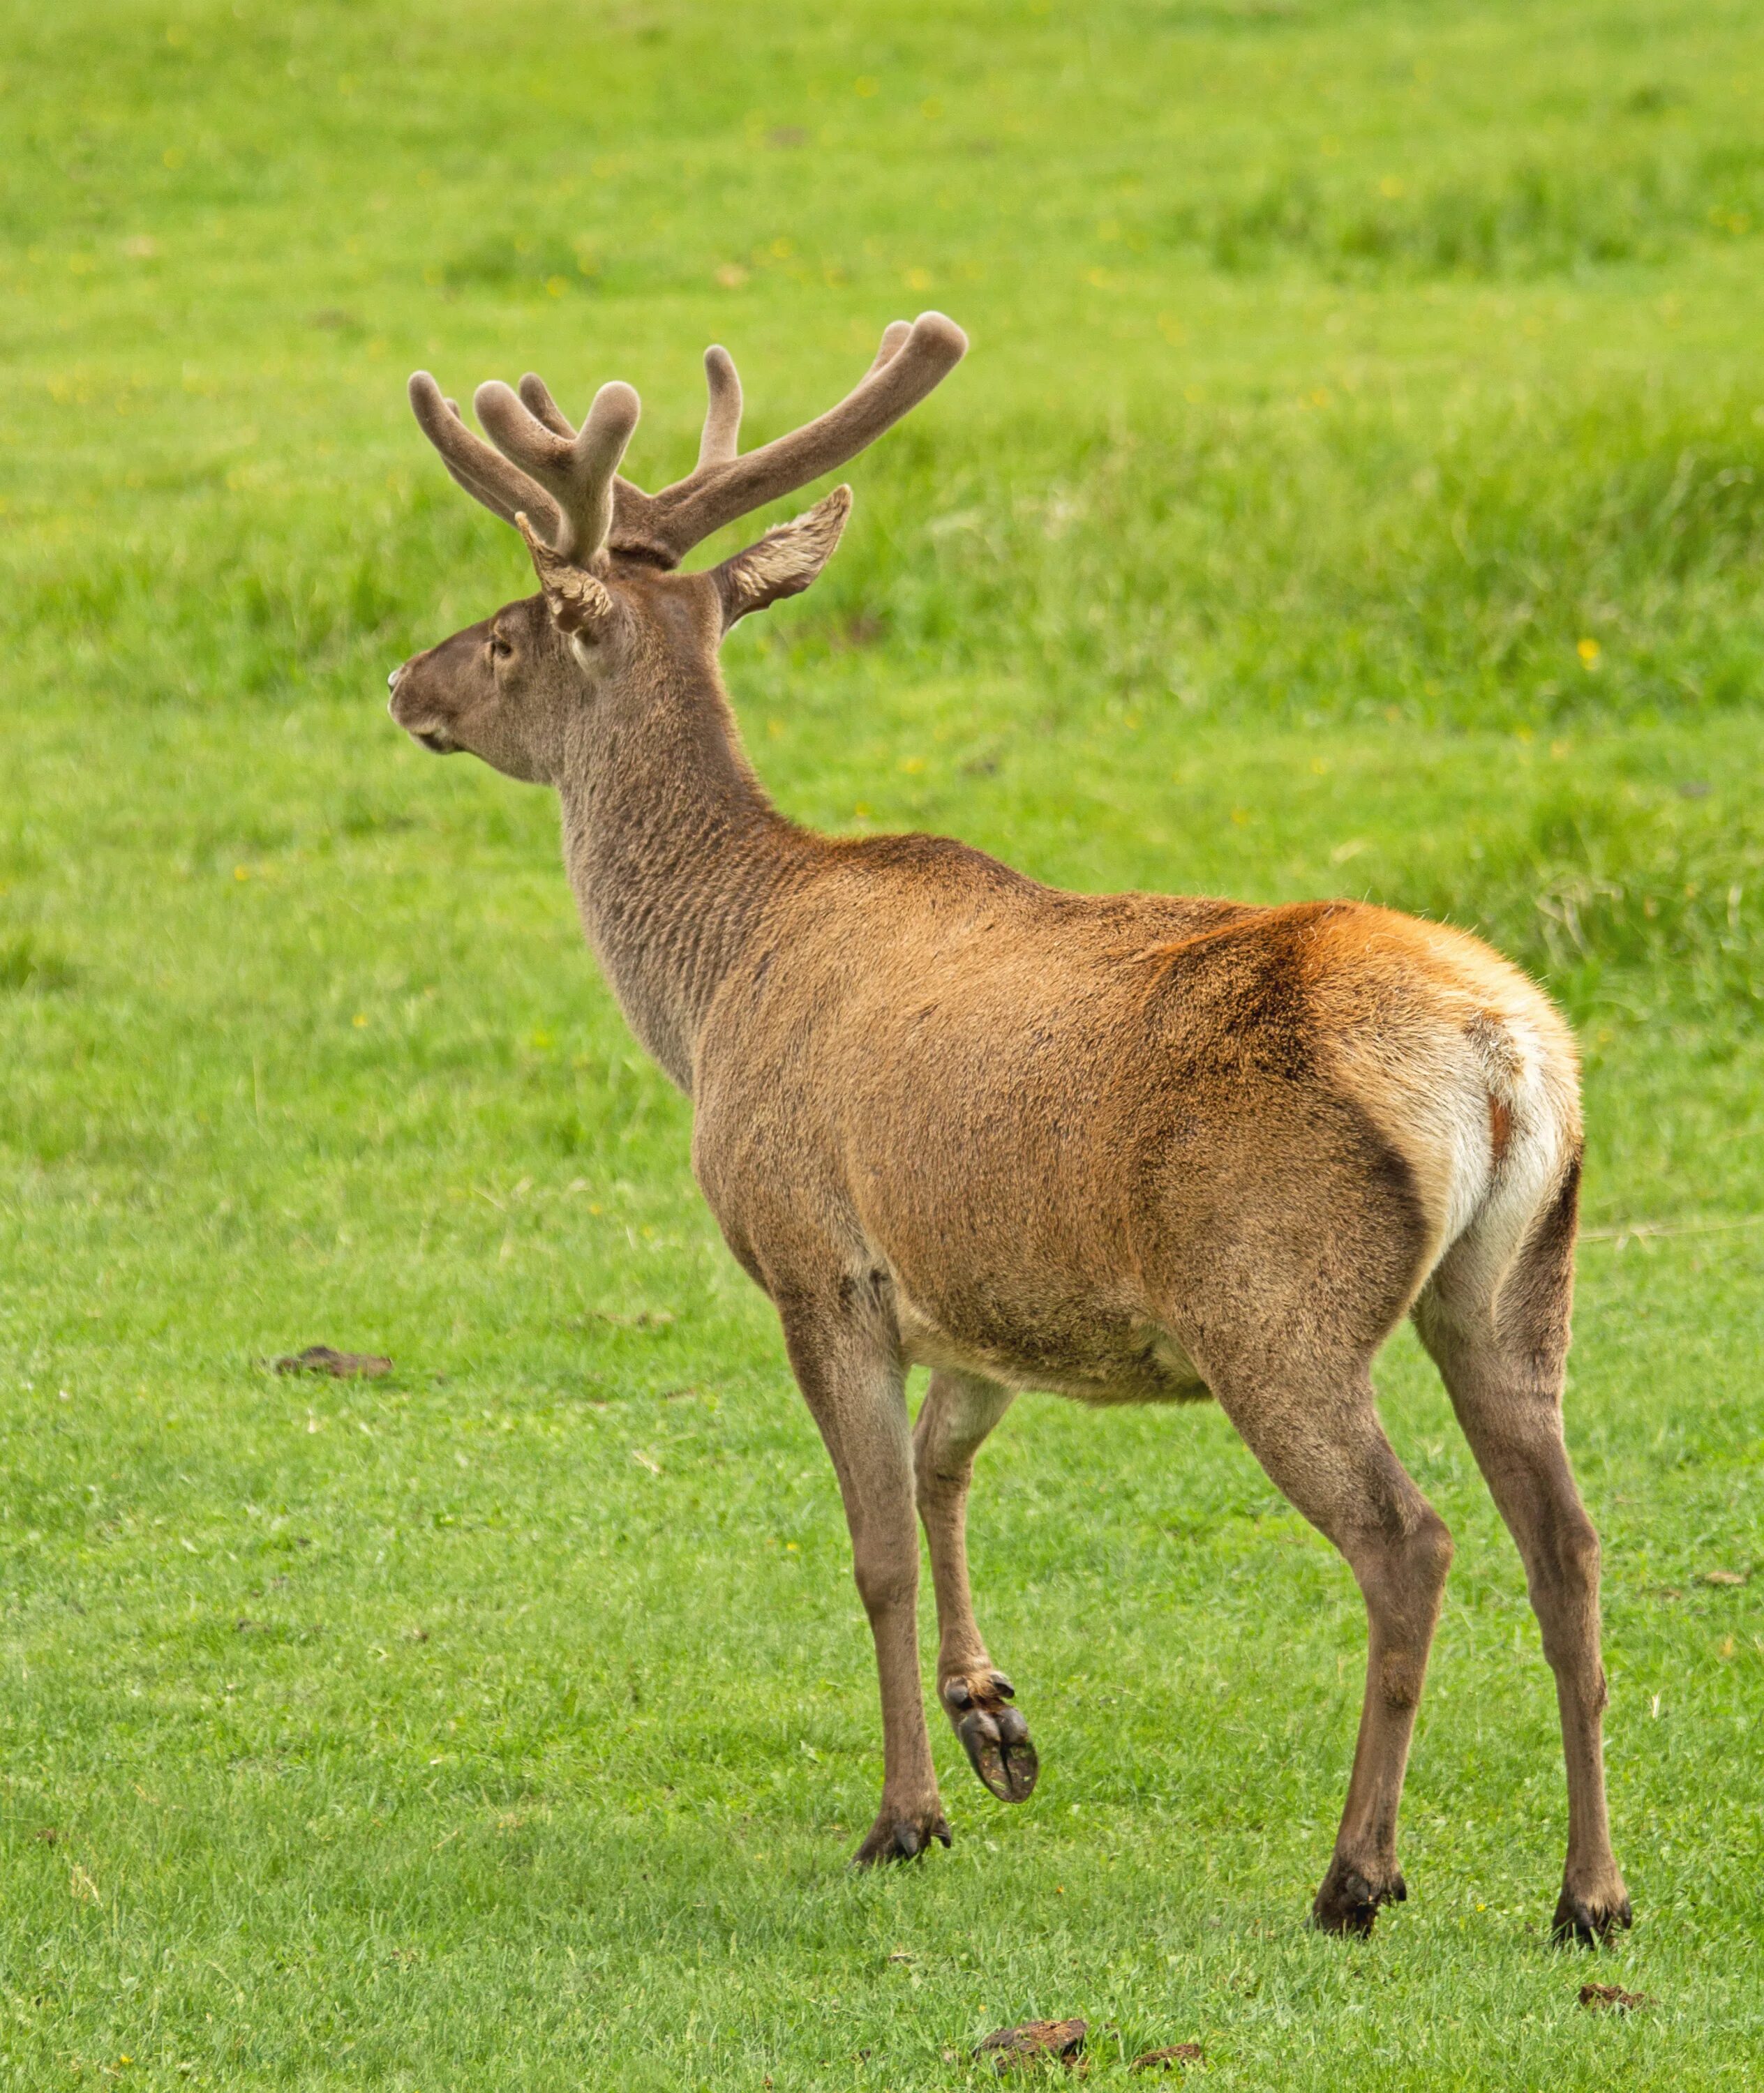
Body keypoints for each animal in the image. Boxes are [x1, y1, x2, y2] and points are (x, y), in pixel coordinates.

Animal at [387, 314, 1632, 1942]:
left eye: (515, 624)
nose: (403, 681)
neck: (708, 990)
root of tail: (1504, 1058)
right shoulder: (981, 1294)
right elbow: (943, 1466)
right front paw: (995, 1722)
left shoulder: (816, 1257)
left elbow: (873, 1548)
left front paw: (905, 1817)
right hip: (1514, 1283)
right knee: (1570, 1544)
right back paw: (1591, 1895)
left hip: (1275, 1302)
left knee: (1407, 1539)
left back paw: (1357, 1874)